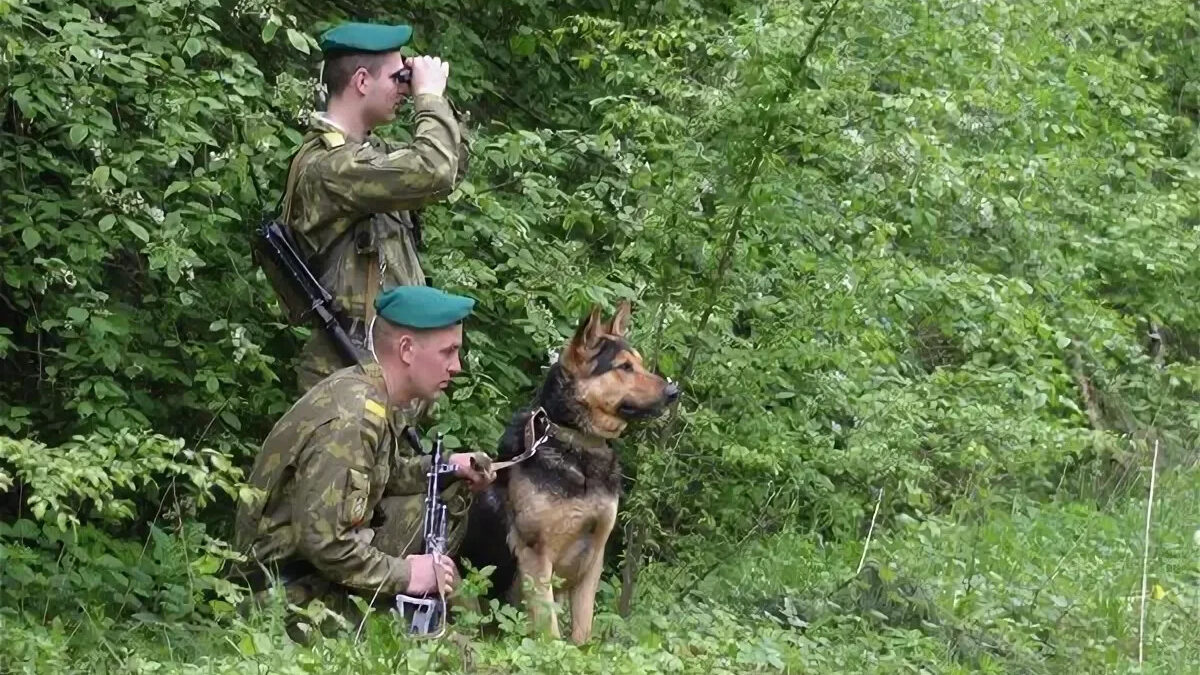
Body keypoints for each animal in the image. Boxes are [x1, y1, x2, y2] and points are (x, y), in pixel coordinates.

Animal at [458, 297, 681, 638]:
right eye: (624, 367)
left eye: (641, 363)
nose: (674, 392)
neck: (578, 445)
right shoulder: (536, 557)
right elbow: (549, 628)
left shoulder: (594, 558)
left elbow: (583, 628)